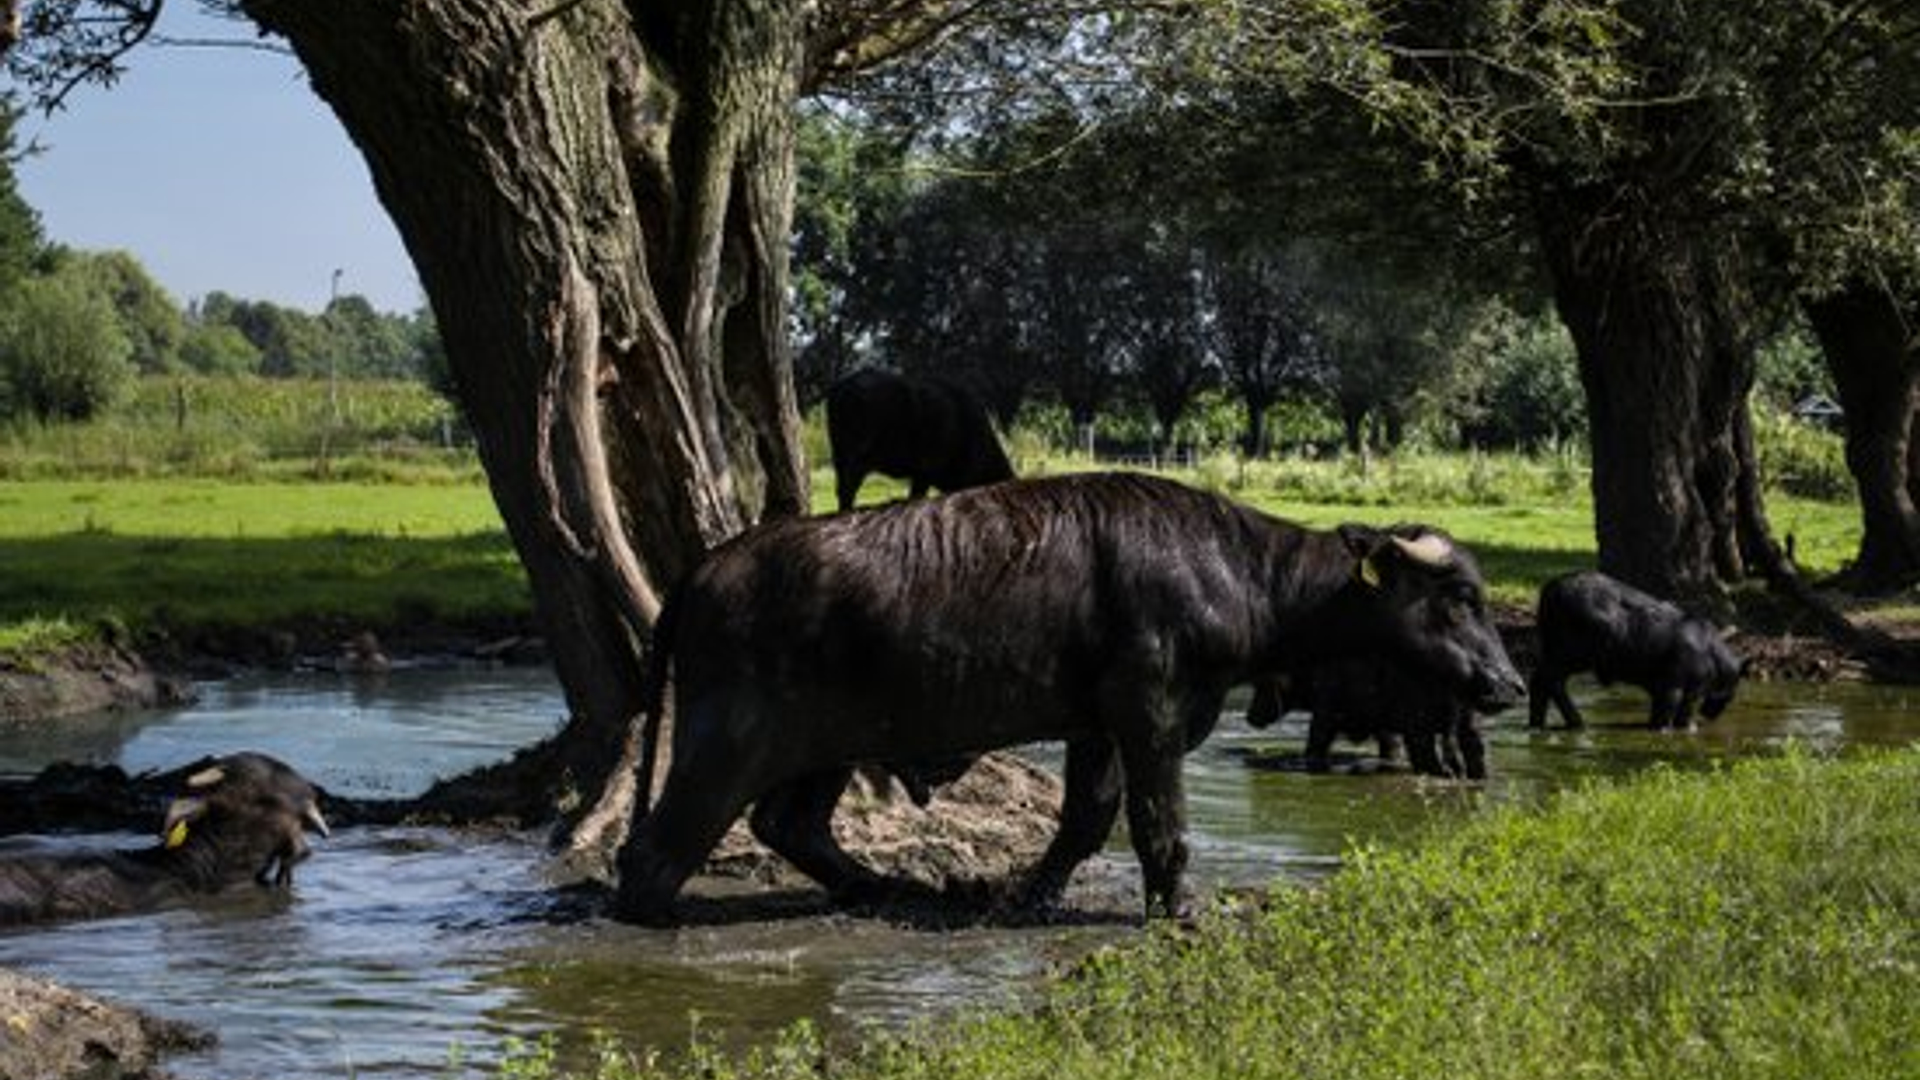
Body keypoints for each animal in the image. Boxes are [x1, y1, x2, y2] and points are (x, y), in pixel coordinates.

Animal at [606, 466, 1520, 922]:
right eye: (1458, 598)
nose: (1508, 682)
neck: (1230, 566)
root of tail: (706, 569)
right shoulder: (1152, 713)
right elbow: (1160, 825)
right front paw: (1179, 910)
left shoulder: (1097, 726)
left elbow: (1086, 820)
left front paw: (1029, 898)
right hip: (726, 744)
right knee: (655, 852)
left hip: (828, 742)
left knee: (788, 823)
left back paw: (881, 887)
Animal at [821, 367, 1013, 511]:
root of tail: (843, 386)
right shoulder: (927, 468)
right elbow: (916, 496)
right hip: (856, 454)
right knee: (847, 489)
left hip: (839, 454)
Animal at [1520, 568, 1751, 726]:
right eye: (1734, 689)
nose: (1711, 714)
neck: (1718, 664)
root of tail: (1549, 591)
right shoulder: (1680, 686)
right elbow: (1674, 719)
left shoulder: (1660, 687)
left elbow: (1658, 716)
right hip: (1572, 654)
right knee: (1549, 680)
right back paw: (1578, 724)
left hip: (1553, 649)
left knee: (1539, 681)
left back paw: (1539, 724)